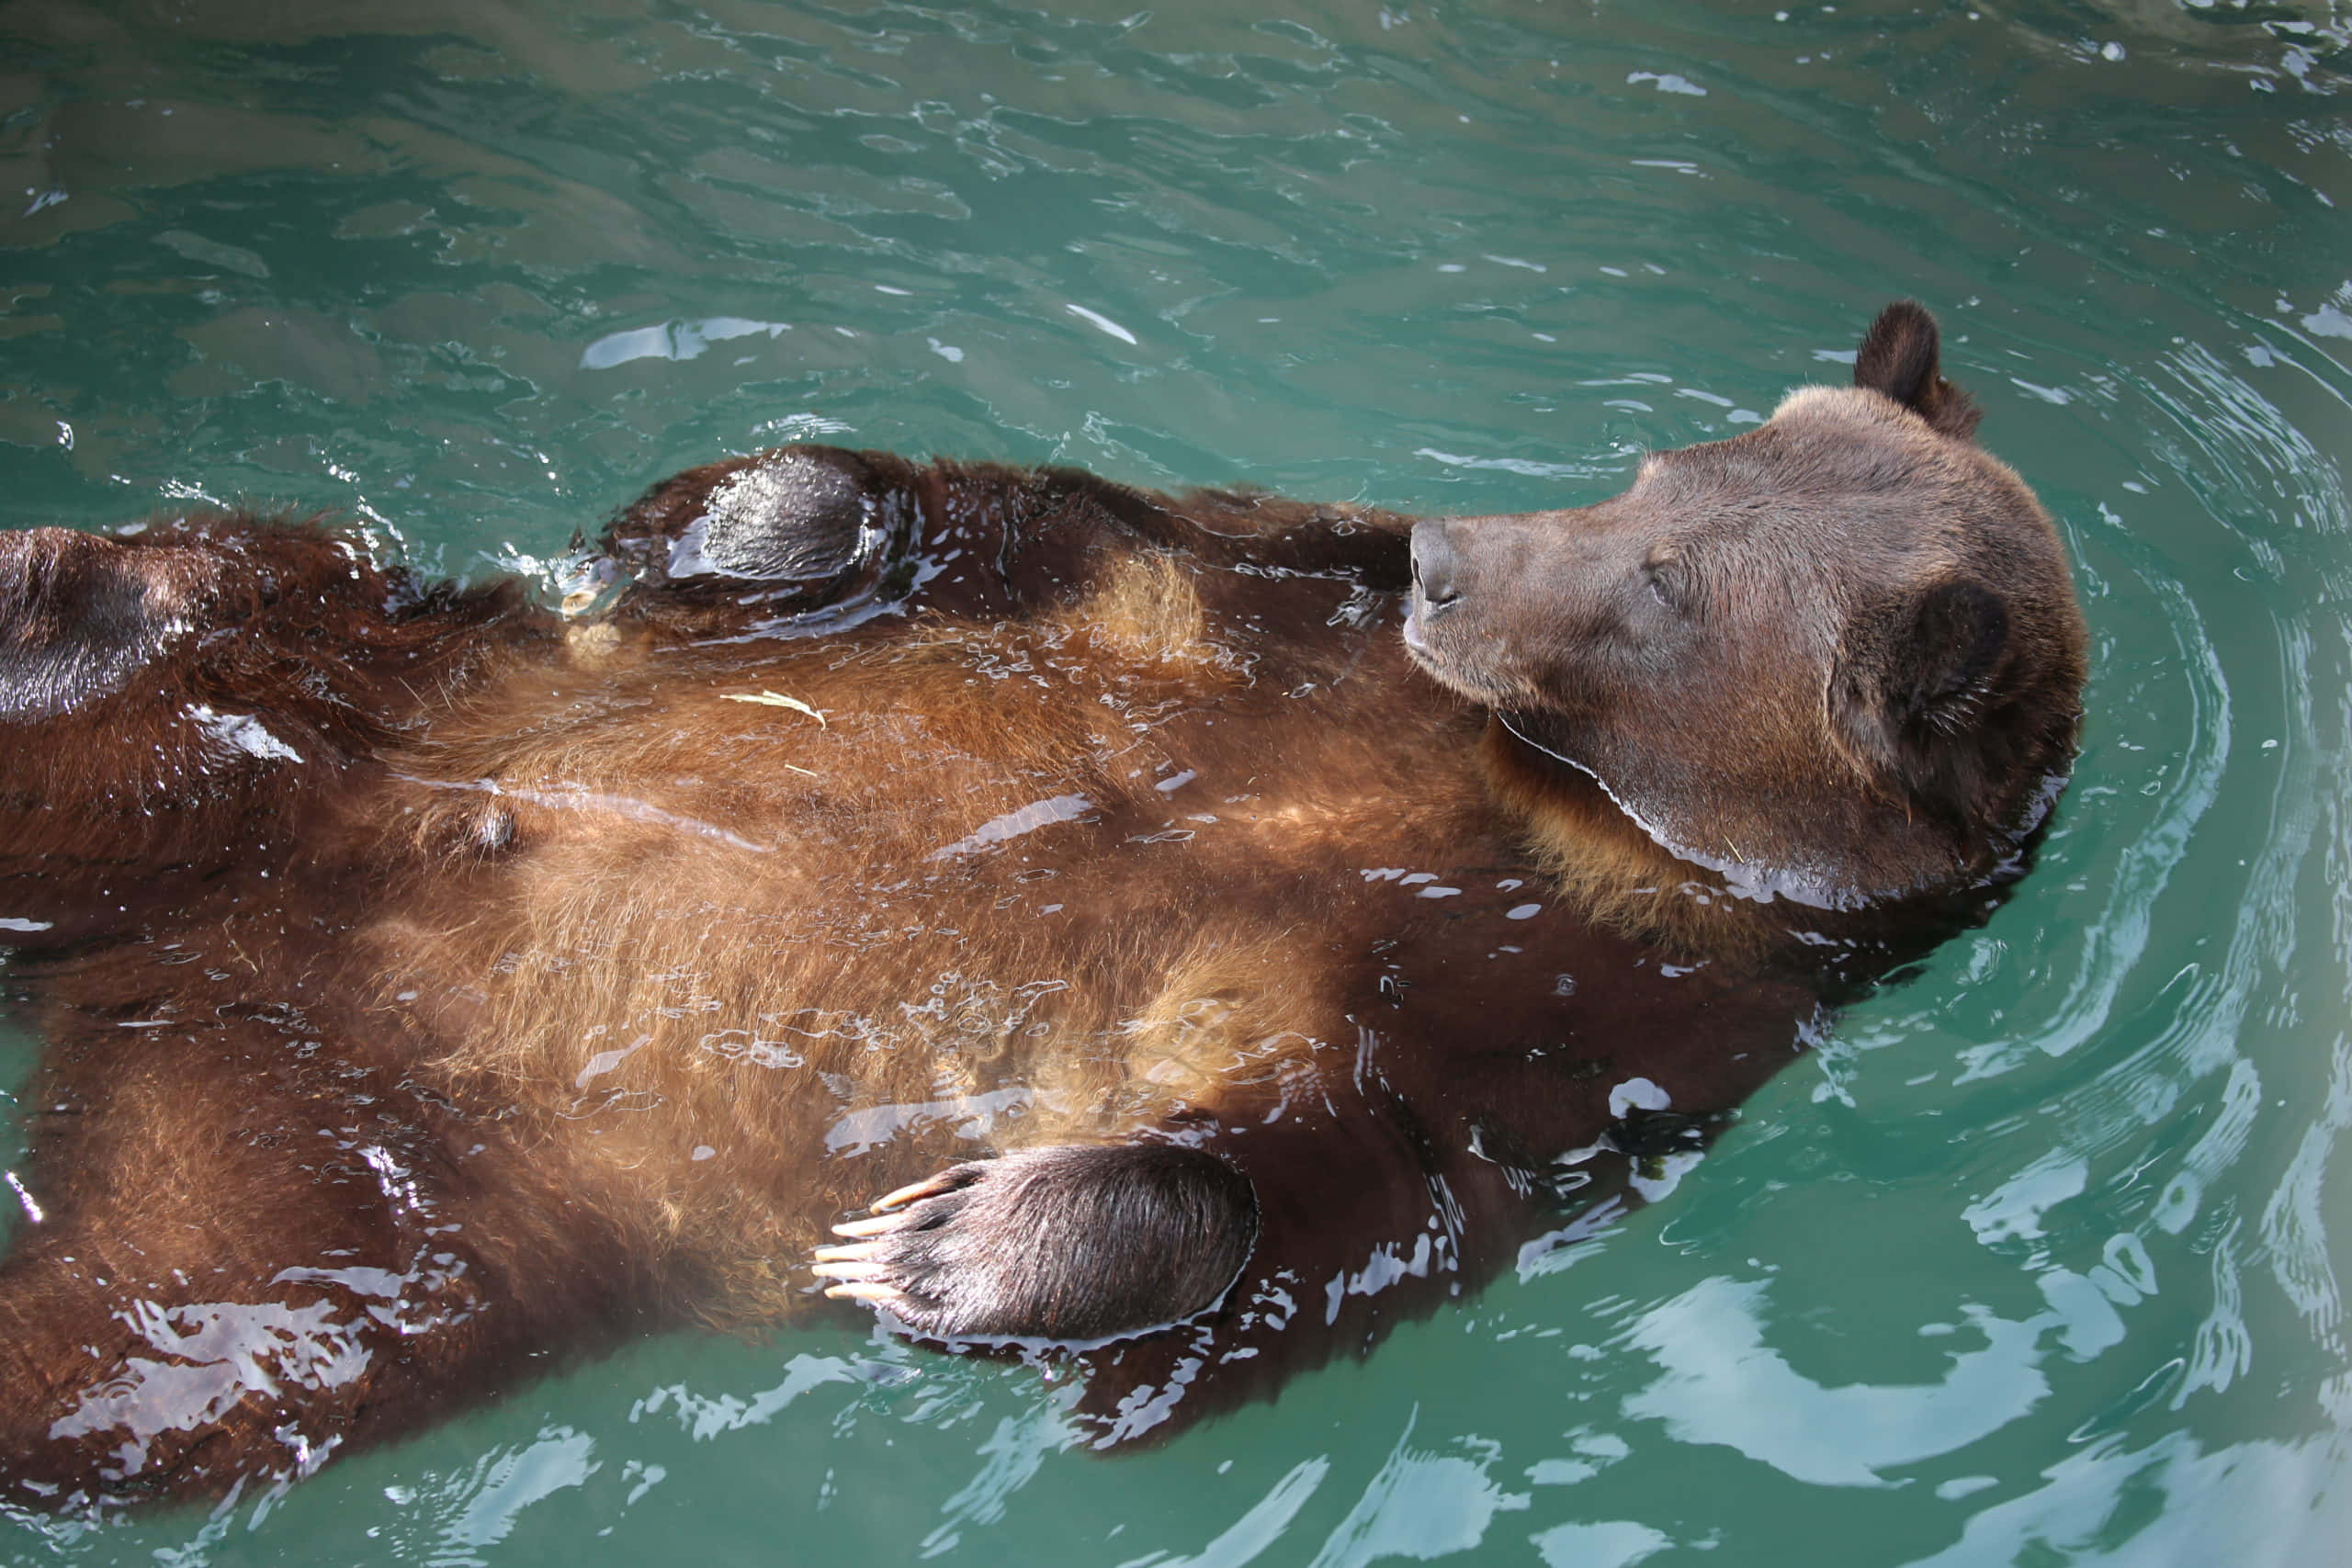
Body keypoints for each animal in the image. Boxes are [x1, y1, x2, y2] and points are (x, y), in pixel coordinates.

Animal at [0, 302, 2084, 1506]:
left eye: (1669, 580)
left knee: (145, 1361)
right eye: (1660, 467)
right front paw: (761, 518)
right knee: (224, 616)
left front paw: (938, 1240)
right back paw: (57, 599)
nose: (1445, 556)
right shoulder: (1263, 598)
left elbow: (1356, 1177)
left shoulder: (1598, 1003)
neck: (1549, 799)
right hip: (343, 720)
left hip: (362, 1208)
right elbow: (1033, 521)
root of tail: (163, 970)